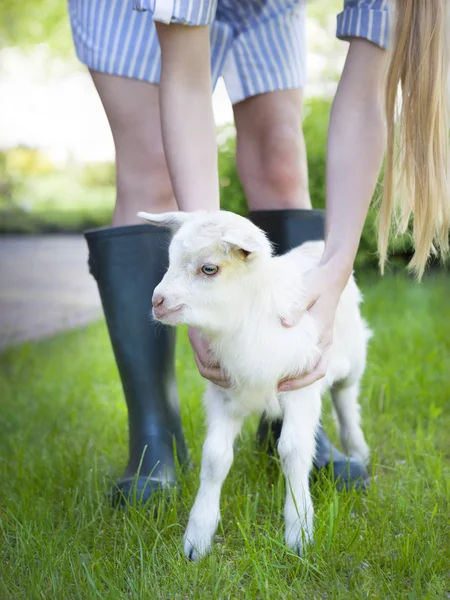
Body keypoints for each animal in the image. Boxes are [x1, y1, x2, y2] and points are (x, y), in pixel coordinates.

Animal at [139, 209, 370, 560]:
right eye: (170, 259)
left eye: (209, 269)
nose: (158, 301)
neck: (246, 322)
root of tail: (315, 246)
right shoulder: (223, 392)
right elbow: (215, 457)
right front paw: (197, 537)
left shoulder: (301, 385)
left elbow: (293, 450)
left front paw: (299, 531)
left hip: (352, 355)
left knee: (345, 399)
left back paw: (358, 451)